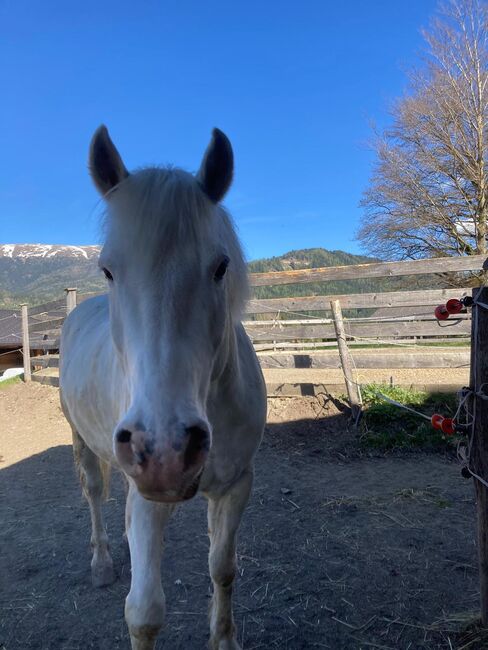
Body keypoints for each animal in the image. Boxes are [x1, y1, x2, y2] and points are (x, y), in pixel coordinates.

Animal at [60, 124, 266, 644]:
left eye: (220, 266)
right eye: (108, 269)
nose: (166, 451)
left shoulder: (236, 485)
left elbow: (223, 569)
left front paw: (224, 638)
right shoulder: (150, 498)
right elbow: (145, 612)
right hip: (83, 440)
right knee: (94, 493)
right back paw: (102, 562)